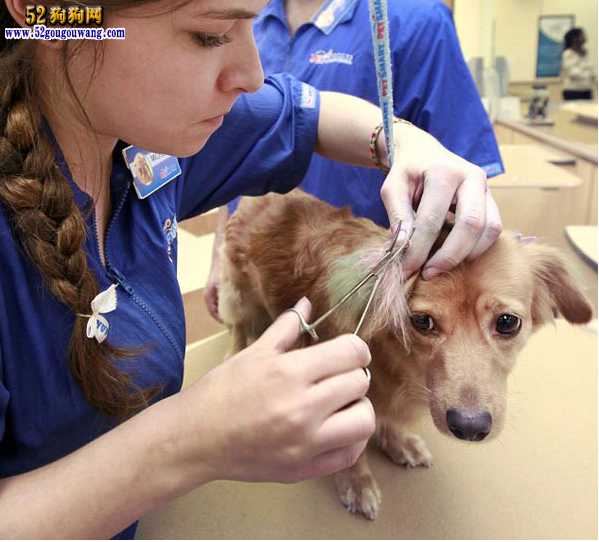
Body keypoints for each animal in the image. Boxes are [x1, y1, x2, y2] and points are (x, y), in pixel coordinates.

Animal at [218, 189, 592, 520]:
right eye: (422, 321)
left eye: (507, 322)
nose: (470, 427)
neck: (402, 366)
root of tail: (267, 195)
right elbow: (356, 447)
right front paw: (357, 482)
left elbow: (389, 420)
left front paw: (397, 442)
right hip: (238, 294)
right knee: (236, 325)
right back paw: (234, 355)